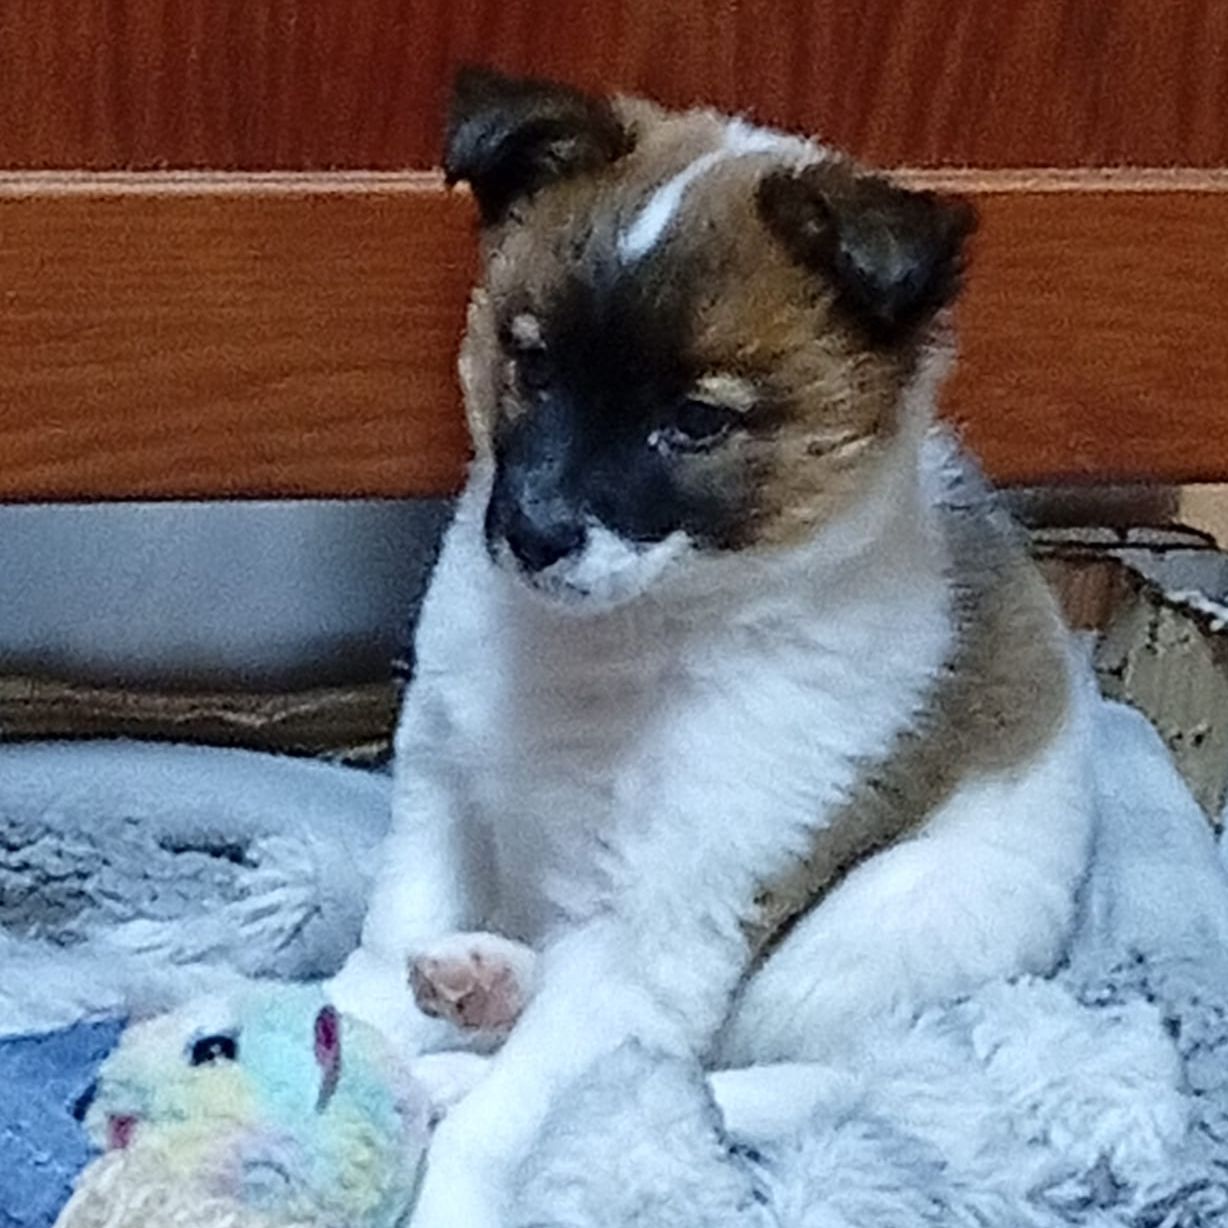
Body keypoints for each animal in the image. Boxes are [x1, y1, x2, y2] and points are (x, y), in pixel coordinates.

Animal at [328, 67, 1095, 1227]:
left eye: (695, 423)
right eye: (533, 363)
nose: (530, 534)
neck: (621, 640)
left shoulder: (669, 925)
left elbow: (514, 1121)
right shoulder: (444, 793)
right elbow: (374, 969)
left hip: (857, 949)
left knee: (755, 1081)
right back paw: (485, 982)